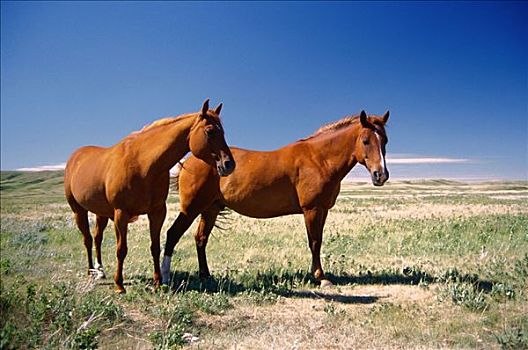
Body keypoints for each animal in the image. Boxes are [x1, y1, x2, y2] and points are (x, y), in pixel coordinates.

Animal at [63, 99, 233, 292]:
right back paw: (91, 272)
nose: (229, 164)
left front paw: (158, 281)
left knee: (97, 238)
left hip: (102, 213)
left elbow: (155, 247)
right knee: (87, 239)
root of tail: (75, 157)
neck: (143, 165)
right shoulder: (121, 213)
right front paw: (119, 285)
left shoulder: (157, 212)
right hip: (78, 211)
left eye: (223, 132)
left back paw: (100, 271)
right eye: (210, 131)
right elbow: (121, 249)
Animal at [163, 110, 390, 288]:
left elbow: (318, 240)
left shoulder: (323, 209)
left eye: (385, 141)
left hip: (210, 209)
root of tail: (189, 161)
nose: (381, 175)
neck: (319, 159)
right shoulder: (312, 209)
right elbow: (314, 242)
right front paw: (321, 277)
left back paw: (206, 276)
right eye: (365, 141)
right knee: (173, 234)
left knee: (201, 239)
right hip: (192, 208)